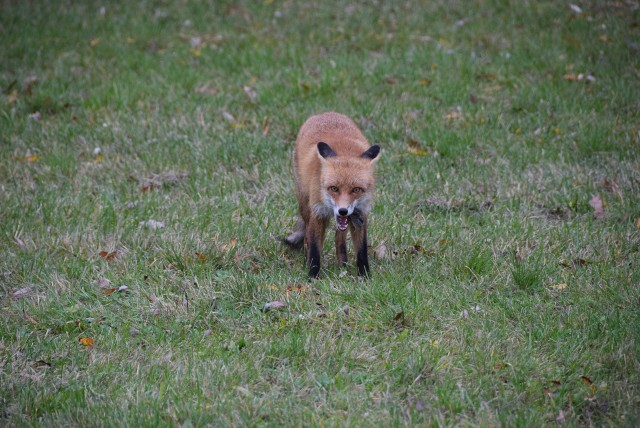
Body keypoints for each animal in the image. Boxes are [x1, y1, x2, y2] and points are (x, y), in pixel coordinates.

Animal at [284, 112, 380, 278]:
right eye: (334, 188)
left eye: (356, 189)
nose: (343, 211)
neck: (345, 152)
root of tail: (325, 113)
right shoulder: (317, 212)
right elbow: (315, 249)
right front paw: (312, 276)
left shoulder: (360, 214)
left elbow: (362, 250)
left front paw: (365, 276)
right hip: (305, 205)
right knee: (308, 236)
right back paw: (307, 260)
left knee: (338, 237)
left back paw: (343, 264)